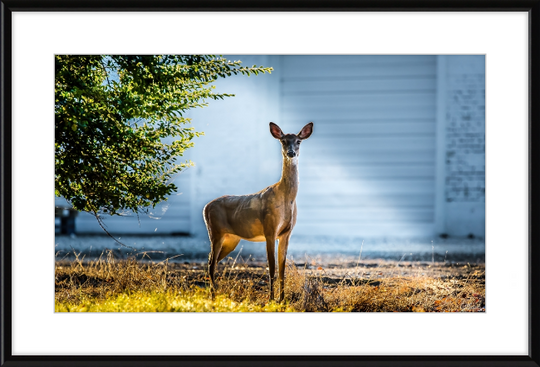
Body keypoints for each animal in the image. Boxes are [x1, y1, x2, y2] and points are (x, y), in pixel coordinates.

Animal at [201, 122, 312, 304]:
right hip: (215, 232)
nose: (291, 153)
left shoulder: (286, 233)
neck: (286, 198)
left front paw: (282, 299)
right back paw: (213, 297)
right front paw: (271, 299)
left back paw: (213, 294)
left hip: (231, 239)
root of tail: (205, 207)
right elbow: (271, 267)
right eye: (283, 141)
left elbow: (282, 268)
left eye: (298, 141)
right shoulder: (270, 229)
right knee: (211, 263)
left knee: (212, 260)